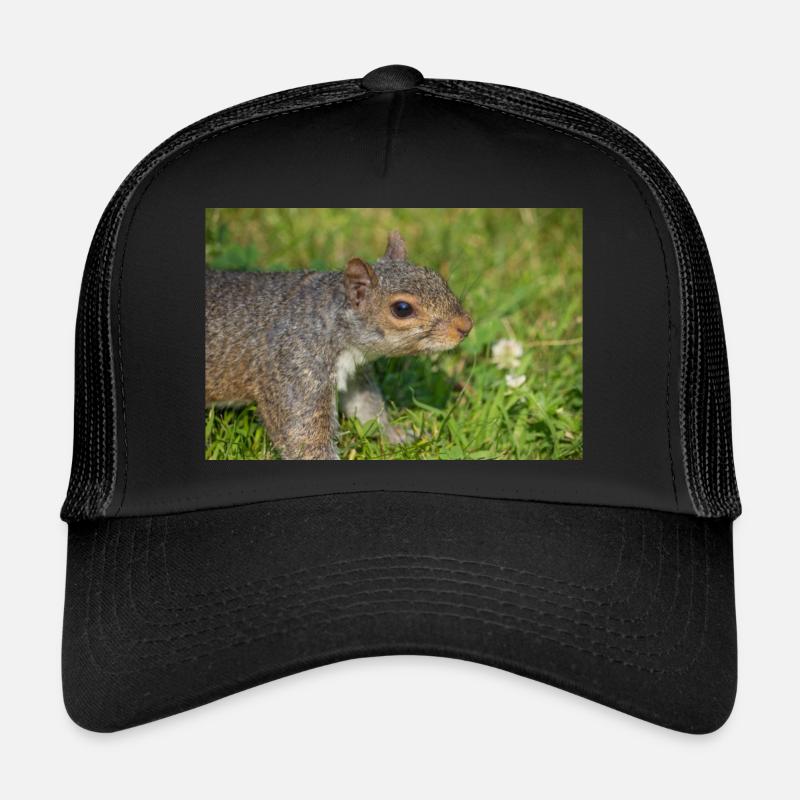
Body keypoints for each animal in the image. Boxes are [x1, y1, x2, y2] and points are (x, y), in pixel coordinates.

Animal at [205, 231, 473, 459]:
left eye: (437, 277)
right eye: (402, 308)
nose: (465, 326)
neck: (329, 321)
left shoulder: (355, 373)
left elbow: (367, 408)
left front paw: (398, 436)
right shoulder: (293, 367)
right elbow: (302, 437)